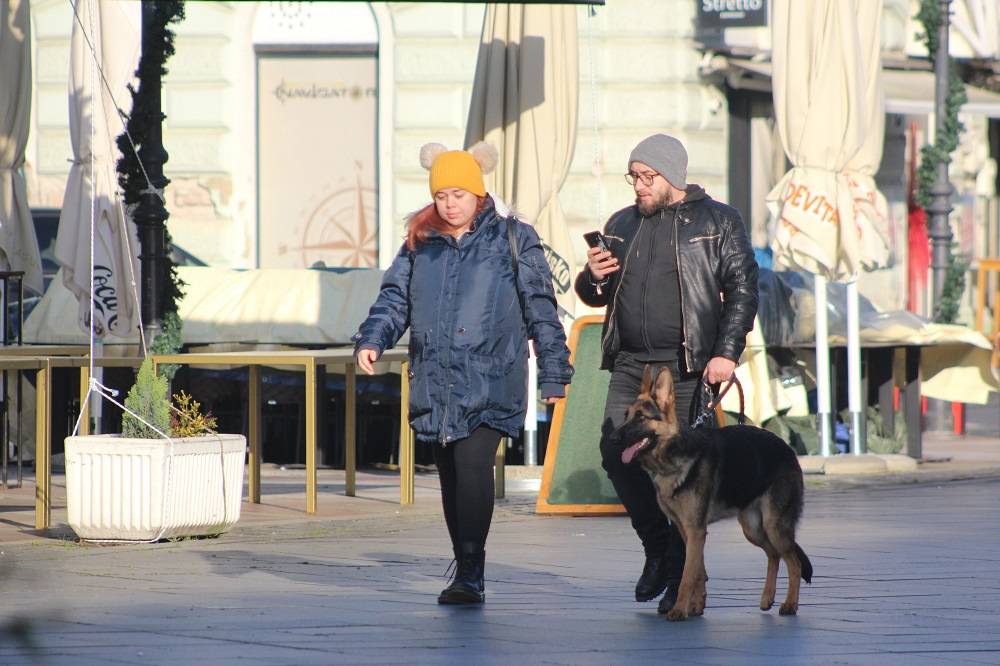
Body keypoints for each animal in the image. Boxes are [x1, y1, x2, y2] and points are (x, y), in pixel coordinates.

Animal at [610, 365, 813, 621]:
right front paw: (696, 606)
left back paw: (790, 605)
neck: (673, 455)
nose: (613, 439)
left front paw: (679, 610)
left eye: (640, 417)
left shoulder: (695, 531)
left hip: (773, 526)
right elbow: (697, 571)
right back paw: (767, 598)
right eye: (626, 415)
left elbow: (687, 575)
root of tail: (788, 449)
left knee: (793, 562)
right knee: (774, 555)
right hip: (753, 529)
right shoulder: (687, 532)